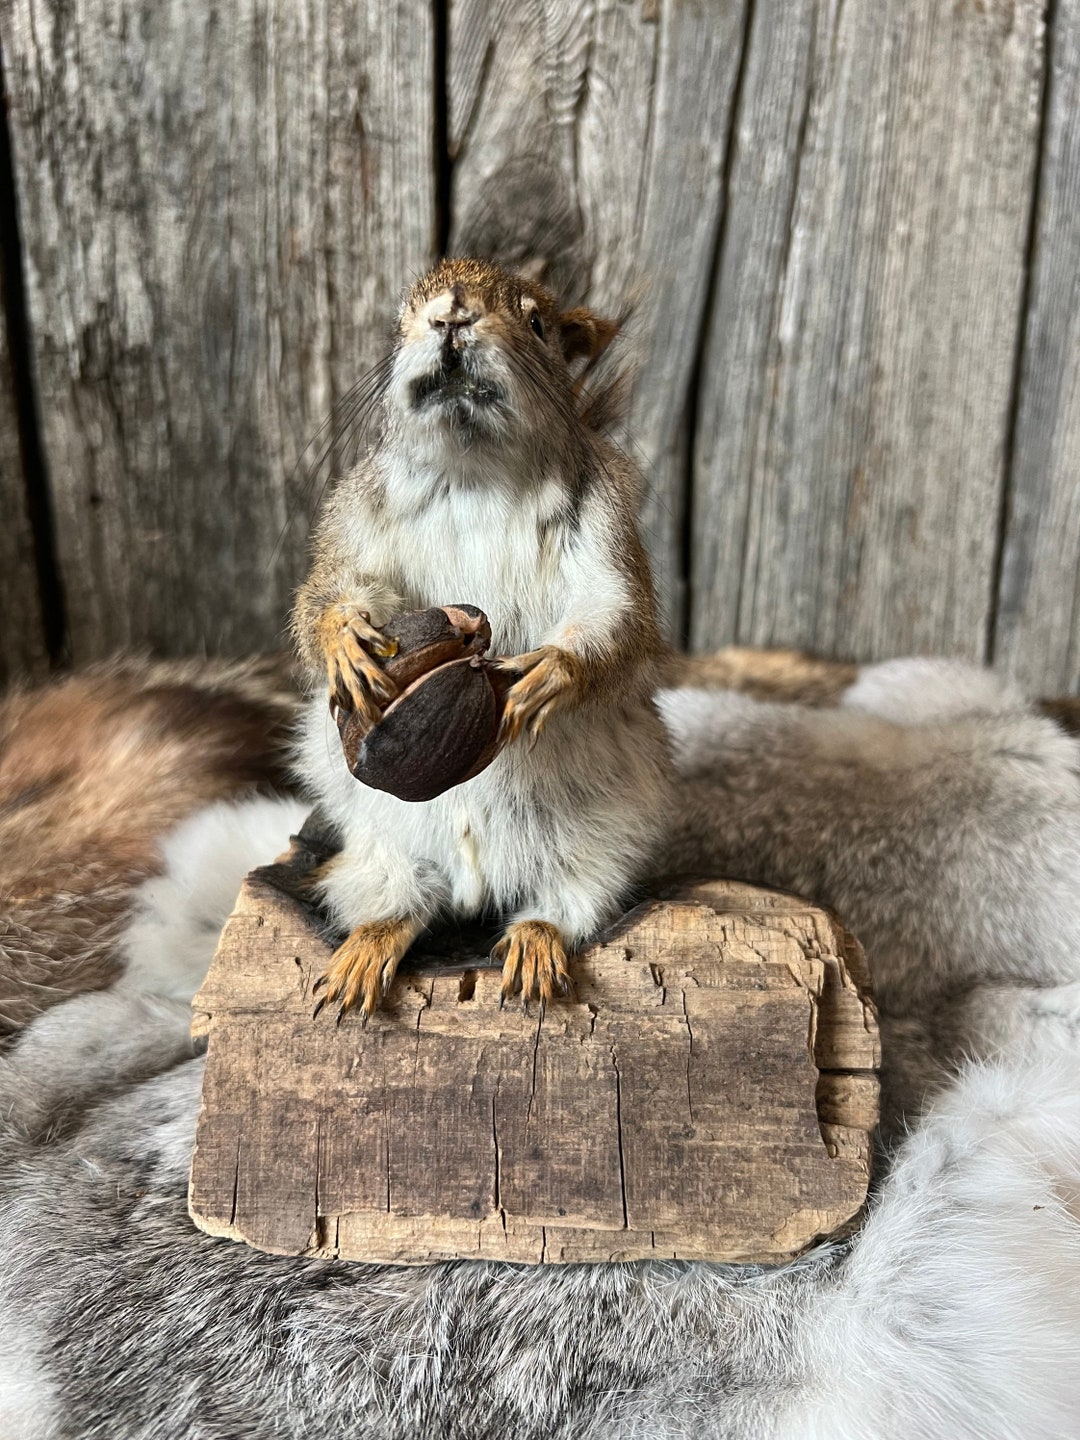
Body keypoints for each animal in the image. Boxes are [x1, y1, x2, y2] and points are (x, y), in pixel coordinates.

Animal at [292, 258, 672, 1021]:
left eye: (538, 324)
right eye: (402, 318)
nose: (451, 314)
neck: (474, 472)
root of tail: (477, 882)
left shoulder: (609, 526)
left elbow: (617, 613)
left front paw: (554, 672)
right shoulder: (351, 519)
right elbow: (327, 591)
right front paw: (343, 638)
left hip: (606, 844)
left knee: (565, 904)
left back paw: (535, 942)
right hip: (378, 845)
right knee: (402, 902)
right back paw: (368, 948)